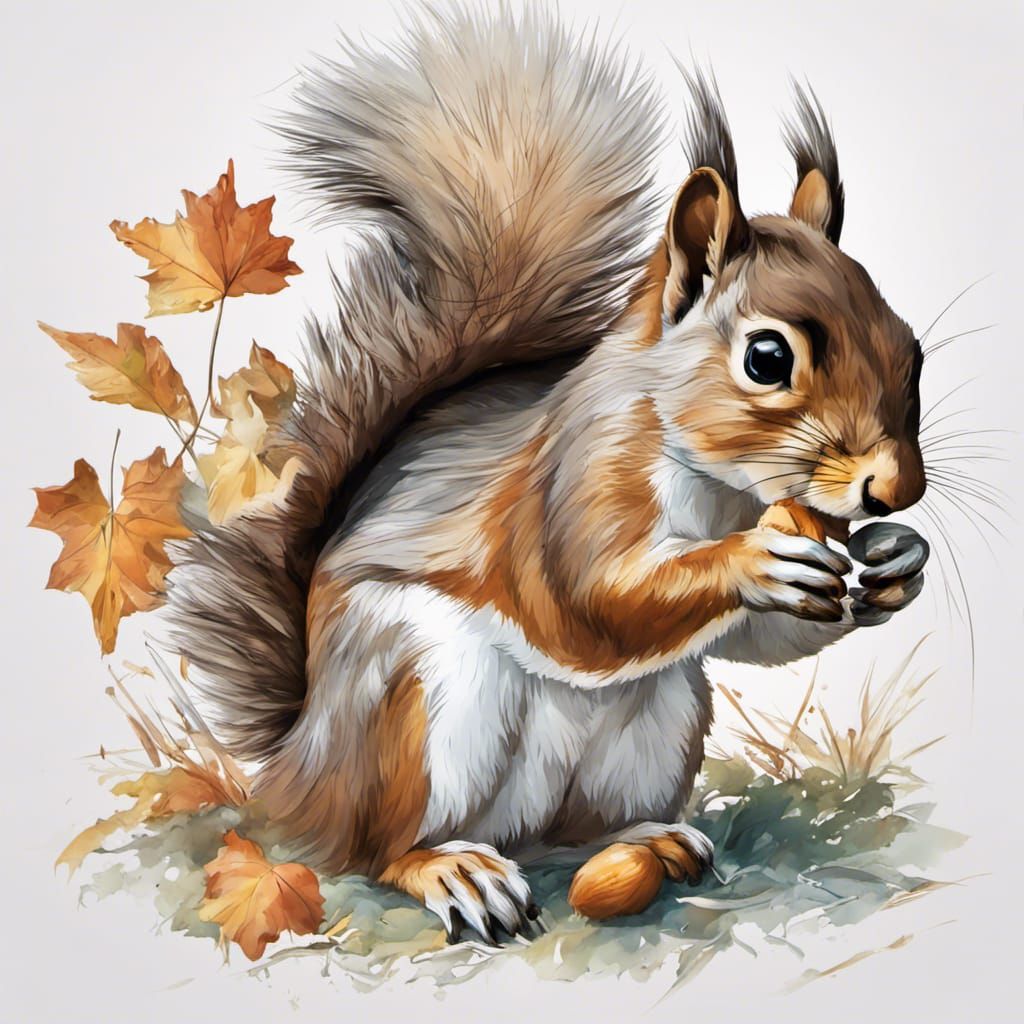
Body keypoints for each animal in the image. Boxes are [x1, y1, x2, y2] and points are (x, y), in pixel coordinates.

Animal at [168, 6, 931, 940]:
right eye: (765, 357)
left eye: (911, 350)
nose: (895, 489)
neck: (724, 490)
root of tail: (295, 777)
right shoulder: (570, 483)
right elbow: (585, 600)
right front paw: (756, 562)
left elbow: (752, 641)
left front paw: (896, 560)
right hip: (411, 698)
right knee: (380, 849)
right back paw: (452, 870)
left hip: (658, 727)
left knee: (576, 831)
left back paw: (647, 842)